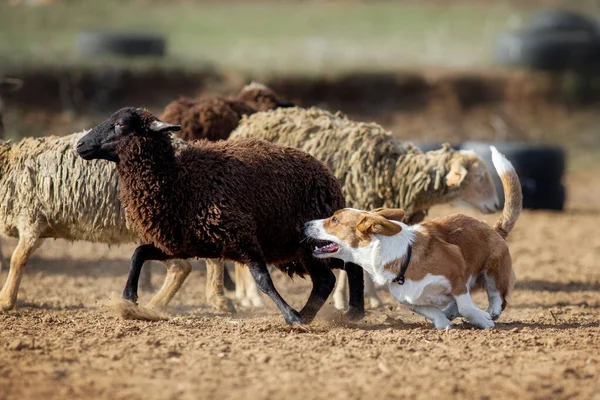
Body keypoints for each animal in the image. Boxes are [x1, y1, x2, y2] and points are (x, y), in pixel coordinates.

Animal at [77, 107, 364, 324]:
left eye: (121, 124)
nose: (80, 144)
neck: (177, 180)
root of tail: (328, 177)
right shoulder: (180, 244)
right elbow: (139, 253)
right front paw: (128, 299)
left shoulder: (242, 237)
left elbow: (263, 280)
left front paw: (290, 316)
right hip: (293, 249)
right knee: (344, 268)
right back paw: (351, 312)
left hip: (305, 245)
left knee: (329, 277)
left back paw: (315, 314)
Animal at [304, 147, 520, 328]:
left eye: (334, 219)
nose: (305, 224)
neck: (402, 260)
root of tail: (495, 228)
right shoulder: (411, 302)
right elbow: (434, 312)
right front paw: (444, 324)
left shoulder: (457, 279)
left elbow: (466, 306)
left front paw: (483, 320)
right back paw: (451, 313)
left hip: (493, 270)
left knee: (498, 296)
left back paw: (491, 311)